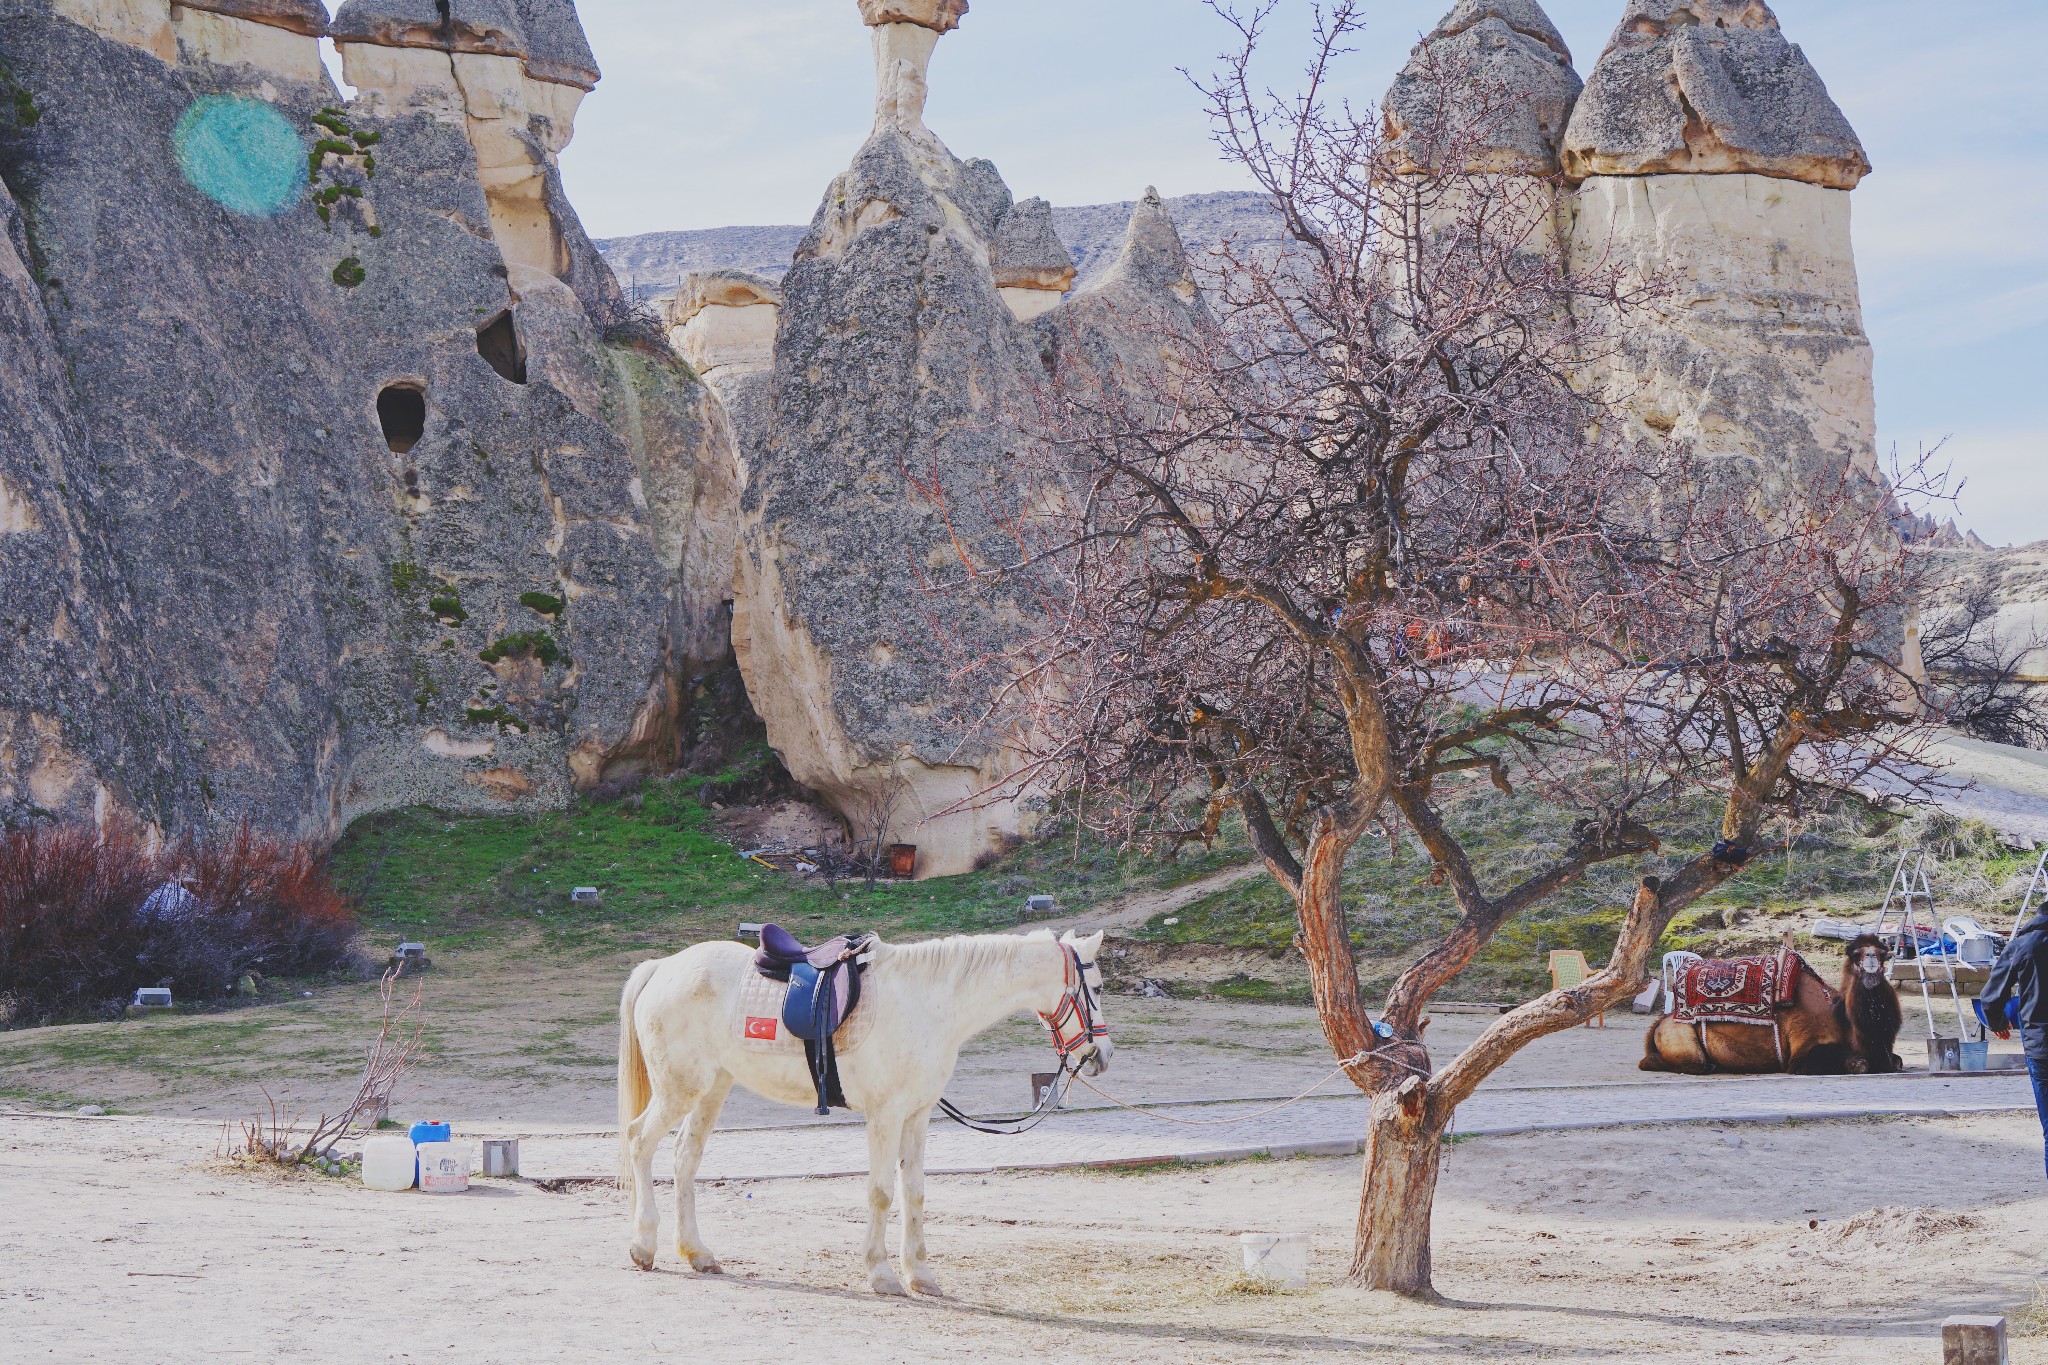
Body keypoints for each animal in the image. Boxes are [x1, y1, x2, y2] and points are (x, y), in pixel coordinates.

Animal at [614, 929, 1114, 1293]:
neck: (928, 1006)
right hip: (679, 1091)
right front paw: (881, 1273)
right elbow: (881, 1194)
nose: (1101, 1055)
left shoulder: (917, 1116)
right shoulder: (886, 1116)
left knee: (684, 1159)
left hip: (710, 1090)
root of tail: (662, 968)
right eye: (1097, 987)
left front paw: (921, 1275)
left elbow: (914, 1193)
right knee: (639, 1141)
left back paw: (696, 1252)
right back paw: (642, 1246)